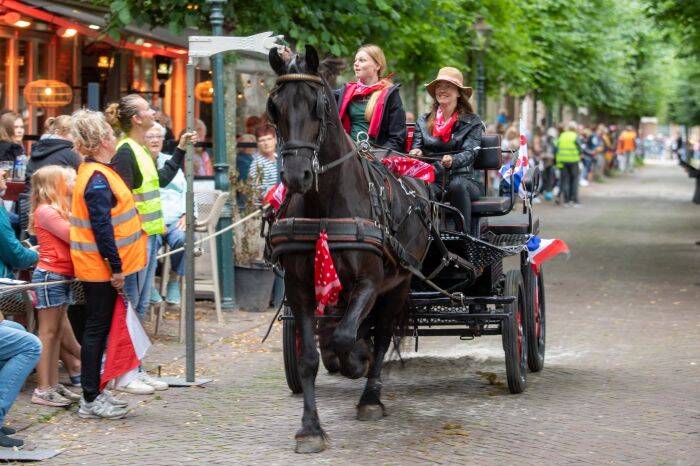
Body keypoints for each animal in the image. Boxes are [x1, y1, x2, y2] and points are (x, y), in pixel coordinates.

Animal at [268, 45, 432, 454]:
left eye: (319, 105)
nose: (295, 175)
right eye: (274, 106)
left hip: (399, 284)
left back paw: (370, 396)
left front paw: (356, 360)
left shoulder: (370, 282)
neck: (326, 206)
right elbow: (309, 357)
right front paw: (310, 429)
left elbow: (348, 336)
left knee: (383, 333)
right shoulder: (299, 287)